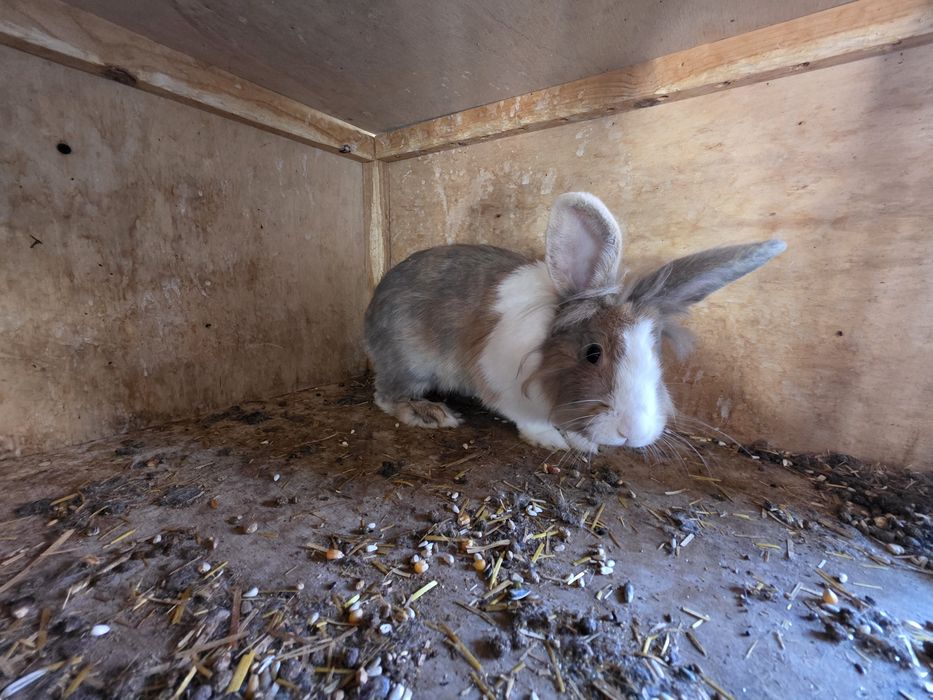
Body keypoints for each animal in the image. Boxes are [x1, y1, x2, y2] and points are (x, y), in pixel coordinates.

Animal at [363, 192, 786, 453]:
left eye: (656, 355)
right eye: (592, 353)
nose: (632, 434)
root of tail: (370, 313)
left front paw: (583, 442)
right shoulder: (500, 383)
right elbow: (527, 419)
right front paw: (553, 440)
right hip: (412, 362)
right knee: (386, 396)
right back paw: (429, 413)